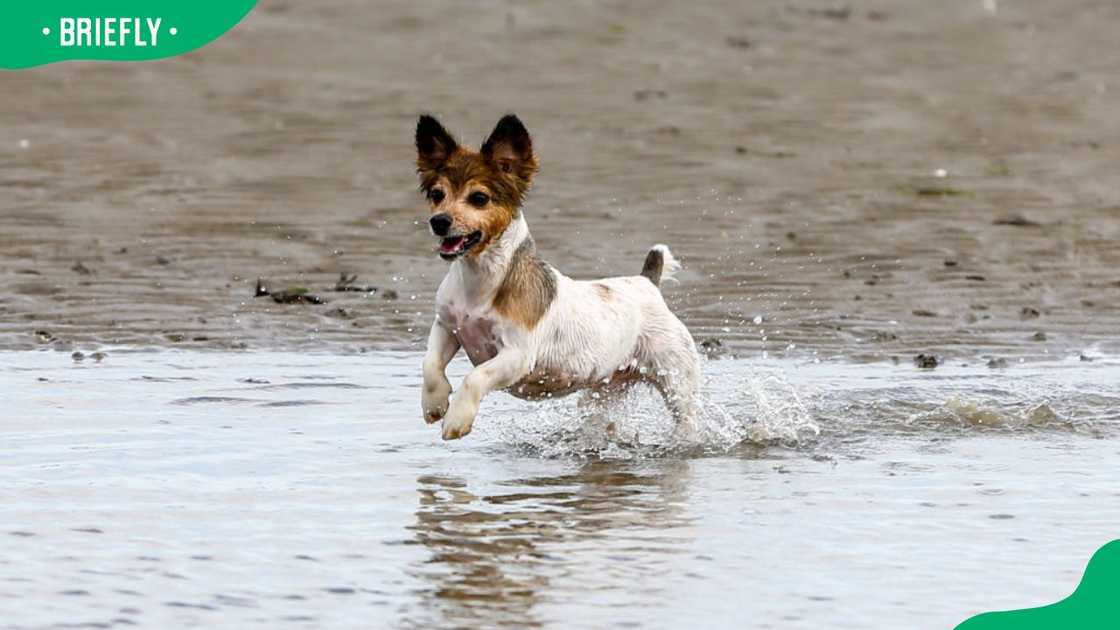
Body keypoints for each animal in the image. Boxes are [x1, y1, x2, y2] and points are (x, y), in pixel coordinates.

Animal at [418, 113, 698, 437]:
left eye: (479, 198)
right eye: (437, 194)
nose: (438, 221)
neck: (481, 282)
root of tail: (647, 283)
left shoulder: (517, 355)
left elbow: (475, 376)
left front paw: (457, 418)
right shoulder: (447, 326)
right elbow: (430, 364)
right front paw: (435, 403)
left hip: (677, 380)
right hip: (604, 392)